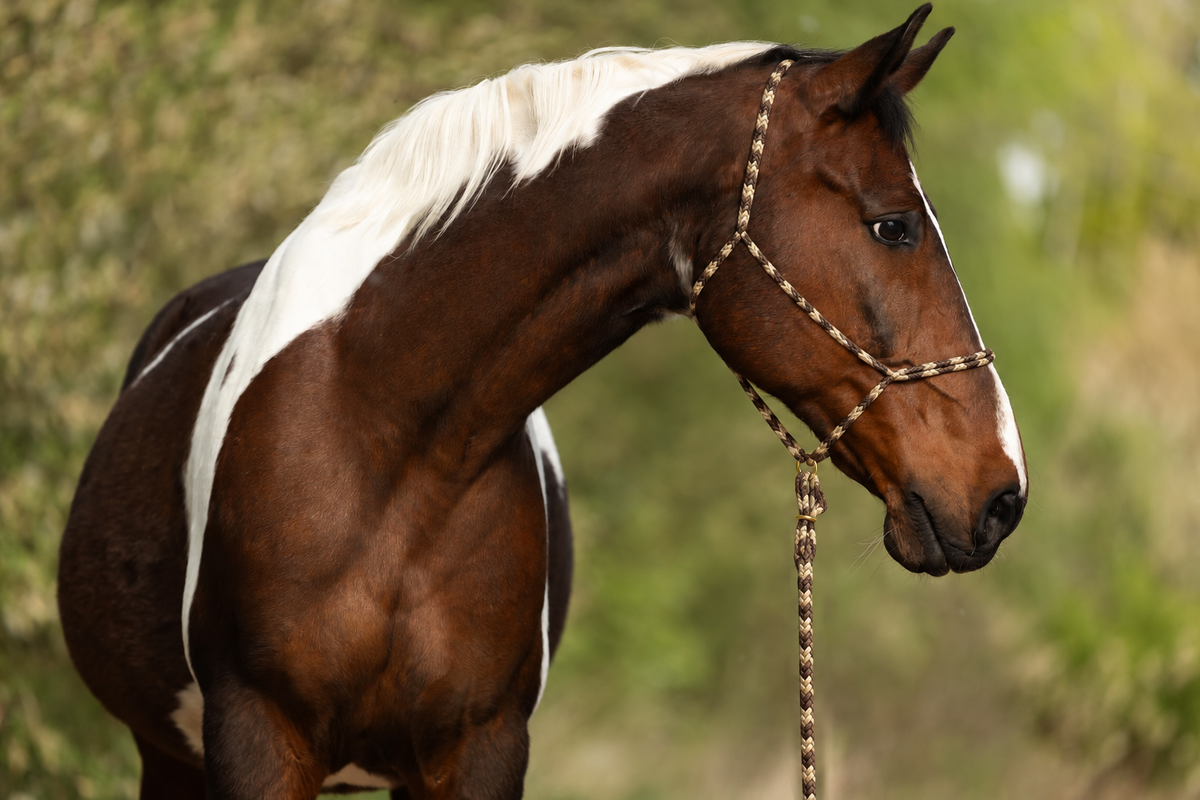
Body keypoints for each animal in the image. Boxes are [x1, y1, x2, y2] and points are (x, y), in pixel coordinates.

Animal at [57, 5, 1027, 798]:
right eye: (893, 225)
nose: (1002, 494)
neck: (384, 443)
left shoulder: (480, 751)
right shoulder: (256, 739)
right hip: (168, 758)